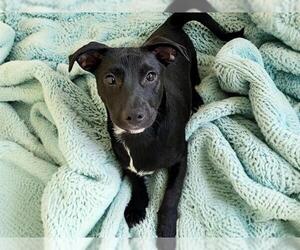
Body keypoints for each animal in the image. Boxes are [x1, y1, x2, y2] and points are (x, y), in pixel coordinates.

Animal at [68, 13, 244, 236]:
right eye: (110, 79)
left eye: (151, 76)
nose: (135, 116)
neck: (141, 137)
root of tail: (170, 25)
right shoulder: (125, 162)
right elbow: (136, 182)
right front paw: (136, 207)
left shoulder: (181, 158)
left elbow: (171, 193)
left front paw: (166, 225)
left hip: (191, 59)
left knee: (194, 79)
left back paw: (195, 99)